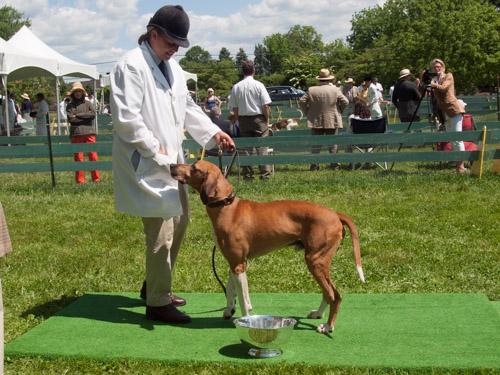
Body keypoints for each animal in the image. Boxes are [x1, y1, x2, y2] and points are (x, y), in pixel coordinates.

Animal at [171, 162, 364, 334]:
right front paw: (228, 311)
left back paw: (328, 326)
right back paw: (318, 314)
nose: (172, 165)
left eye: (194, 167)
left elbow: (243, 299)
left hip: (315, 261)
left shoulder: (239, 265)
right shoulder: (234, 263)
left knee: (334, 295)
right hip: (320, 263)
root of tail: (335, 213)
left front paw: (246, 321)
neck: (226, 206)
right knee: (328, 293)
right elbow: (231, 291)